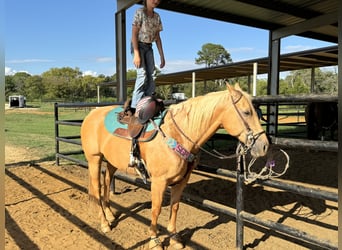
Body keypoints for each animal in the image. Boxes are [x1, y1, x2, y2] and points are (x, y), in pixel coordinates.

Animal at [81, 83, 268, 248]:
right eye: (246, 112)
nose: (265, 146)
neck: (178, 135)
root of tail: (91, 114)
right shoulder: (159, 182)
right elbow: (156, 209)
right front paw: (154, 241)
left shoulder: (181, 181)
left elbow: (175, 207)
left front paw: (174, 238)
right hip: (94, 159)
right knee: (97, 189)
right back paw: (105, 224)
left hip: (111, 162)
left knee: (106, 183)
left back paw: (110, 215)